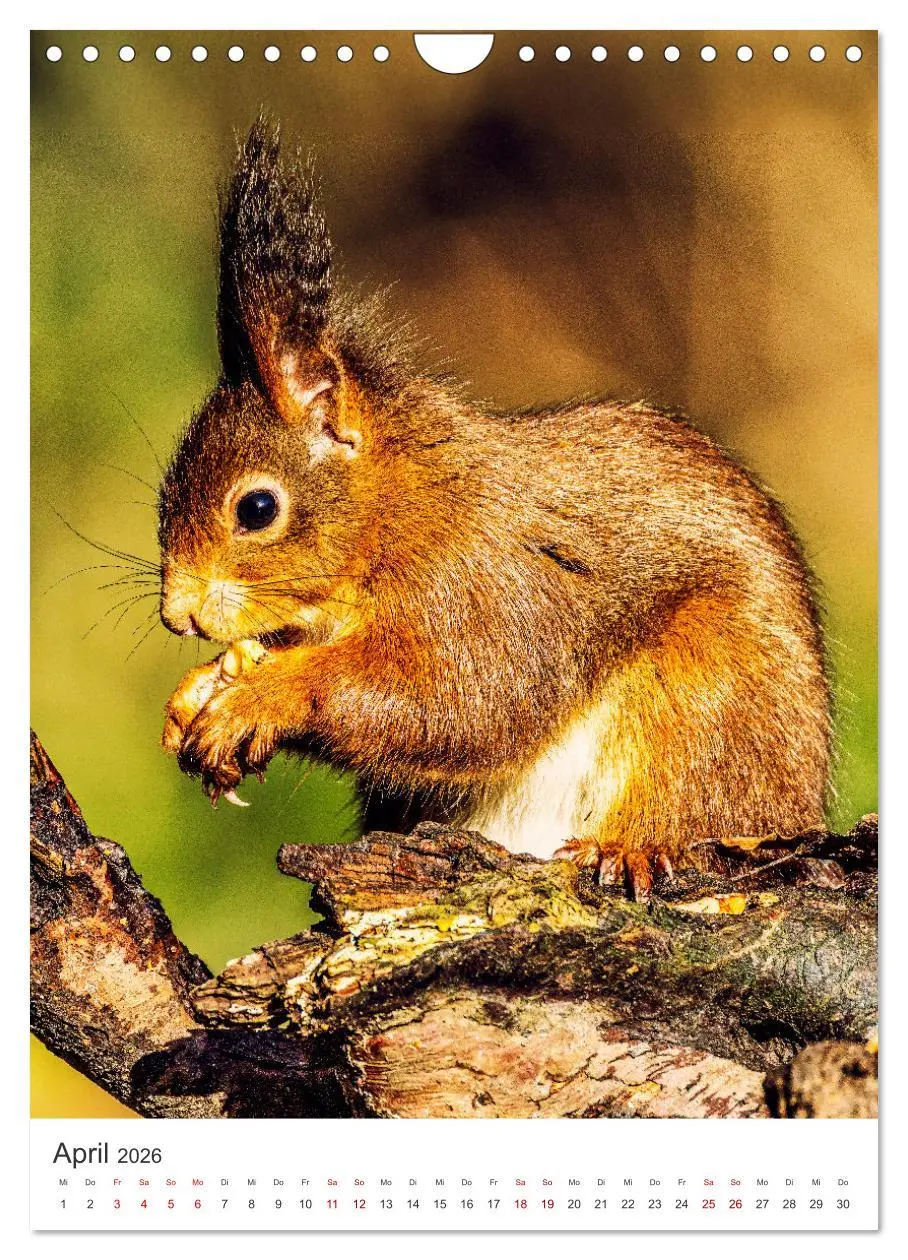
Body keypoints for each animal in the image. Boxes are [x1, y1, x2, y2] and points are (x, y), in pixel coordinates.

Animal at [157, 118, 832, 899]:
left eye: (258, 508)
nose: (178, 615)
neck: (404, 510)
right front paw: (200, 689)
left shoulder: (486, 589)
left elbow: (458, 701)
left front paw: (260, 698)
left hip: (714, 704)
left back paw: (632, 845)